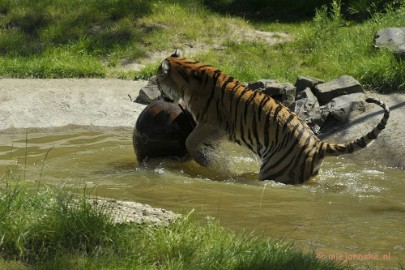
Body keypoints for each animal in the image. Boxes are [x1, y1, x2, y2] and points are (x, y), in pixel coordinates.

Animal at [155, 49, 388, 185]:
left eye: (157, 79)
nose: (158, 92)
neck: (188, 71)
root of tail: (318, 144)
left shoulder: (213, 123)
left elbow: (190, 140)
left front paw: (209, 161)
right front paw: (212, 156)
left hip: (273, 170)